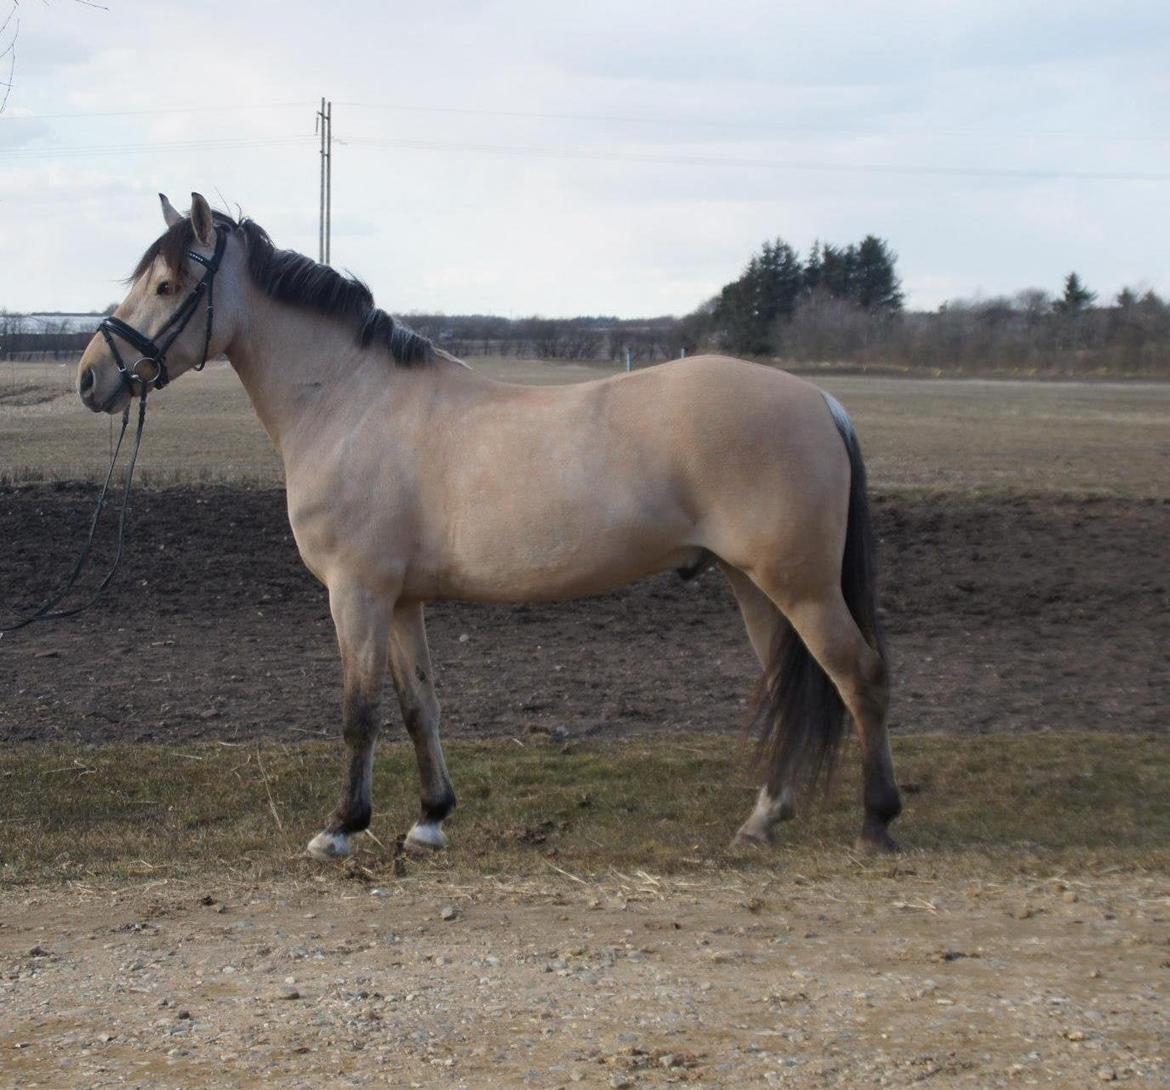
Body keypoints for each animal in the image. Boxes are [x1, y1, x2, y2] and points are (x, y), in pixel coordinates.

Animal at [76, 193, 901, 860]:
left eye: (167, 285)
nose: (90, 378)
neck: (347, 401)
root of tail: (821, 401)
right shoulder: (402, 601)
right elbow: (419, 707)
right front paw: (429, 820)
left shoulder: (356, 594)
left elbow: (359, 713)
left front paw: (341, 828)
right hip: (754, 584)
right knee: (790, 683)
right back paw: (763, 821)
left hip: (799, 586)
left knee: (859, 675)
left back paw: (876, 823)